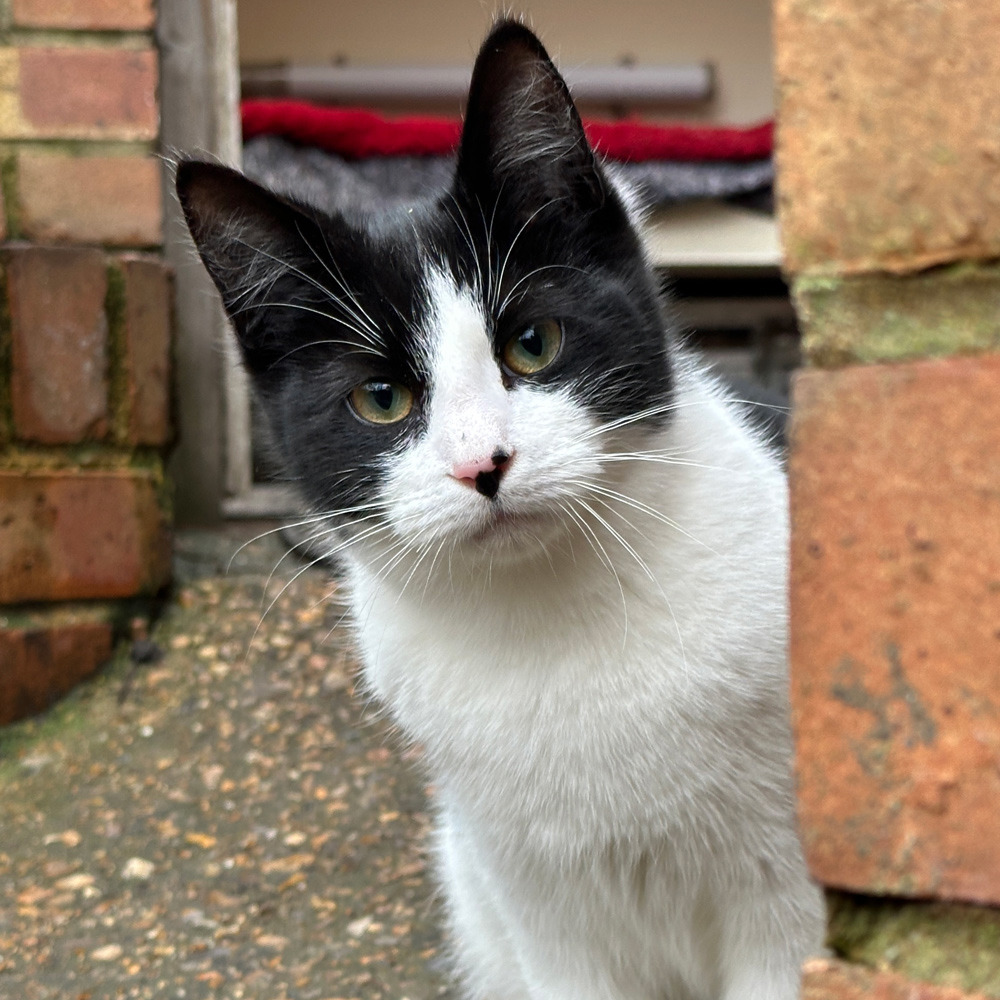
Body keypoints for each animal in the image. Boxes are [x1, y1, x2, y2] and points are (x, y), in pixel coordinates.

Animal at [176, 17, 824, 1000]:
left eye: (534, 344)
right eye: (380, 400)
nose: (484, 464)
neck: (551, 628)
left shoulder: (785, 892)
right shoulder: (540, 906)